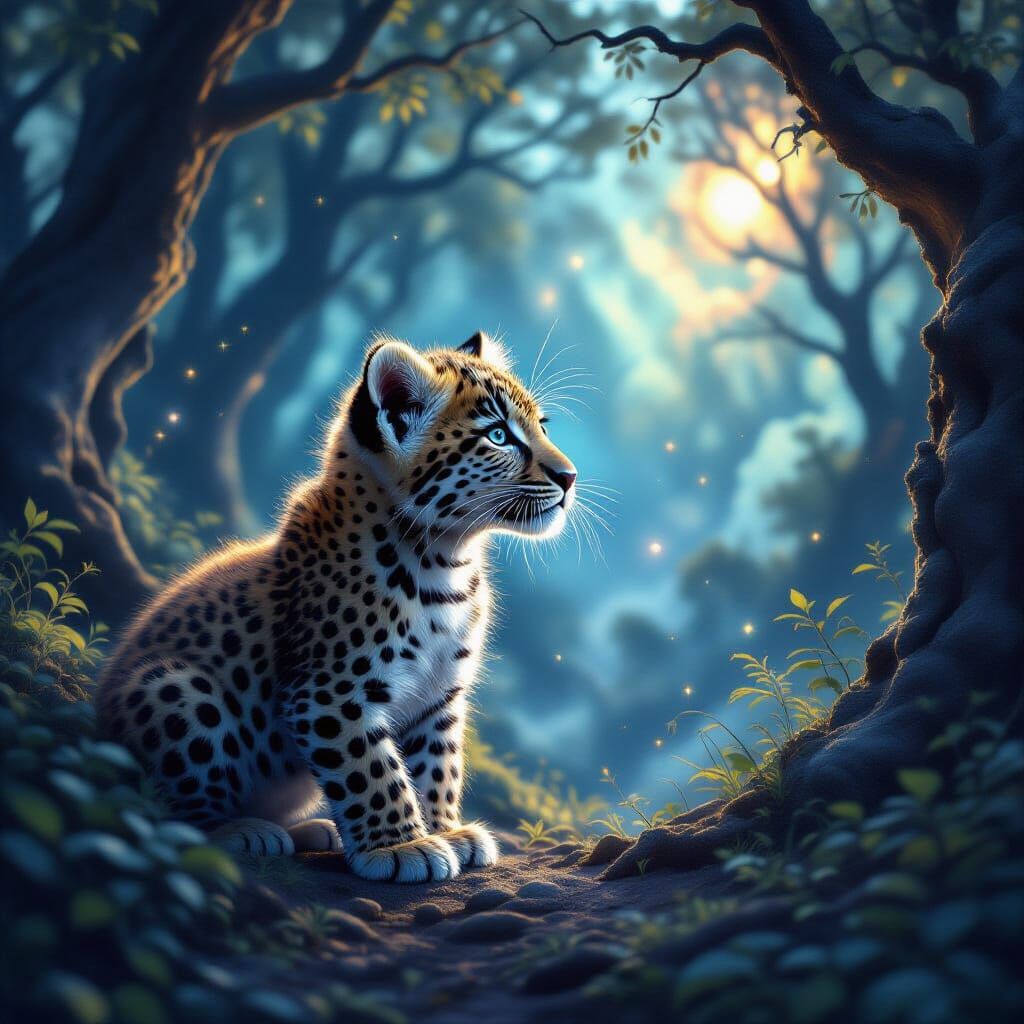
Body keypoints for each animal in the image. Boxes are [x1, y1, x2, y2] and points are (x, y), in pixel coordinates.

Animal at [97, 331, 578, 882]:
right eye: (498, 436)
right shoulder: (329, 694)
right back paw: (242, 831)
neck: (447, 559)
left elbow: (437, 766)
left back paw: (309, 830)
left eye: (541, 426)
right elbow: (374, 771)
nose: (570, 477)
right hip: (176, 689)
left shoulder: (439, 699)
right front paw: (402, 847)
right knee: (163, 810)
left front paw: (447, 831)